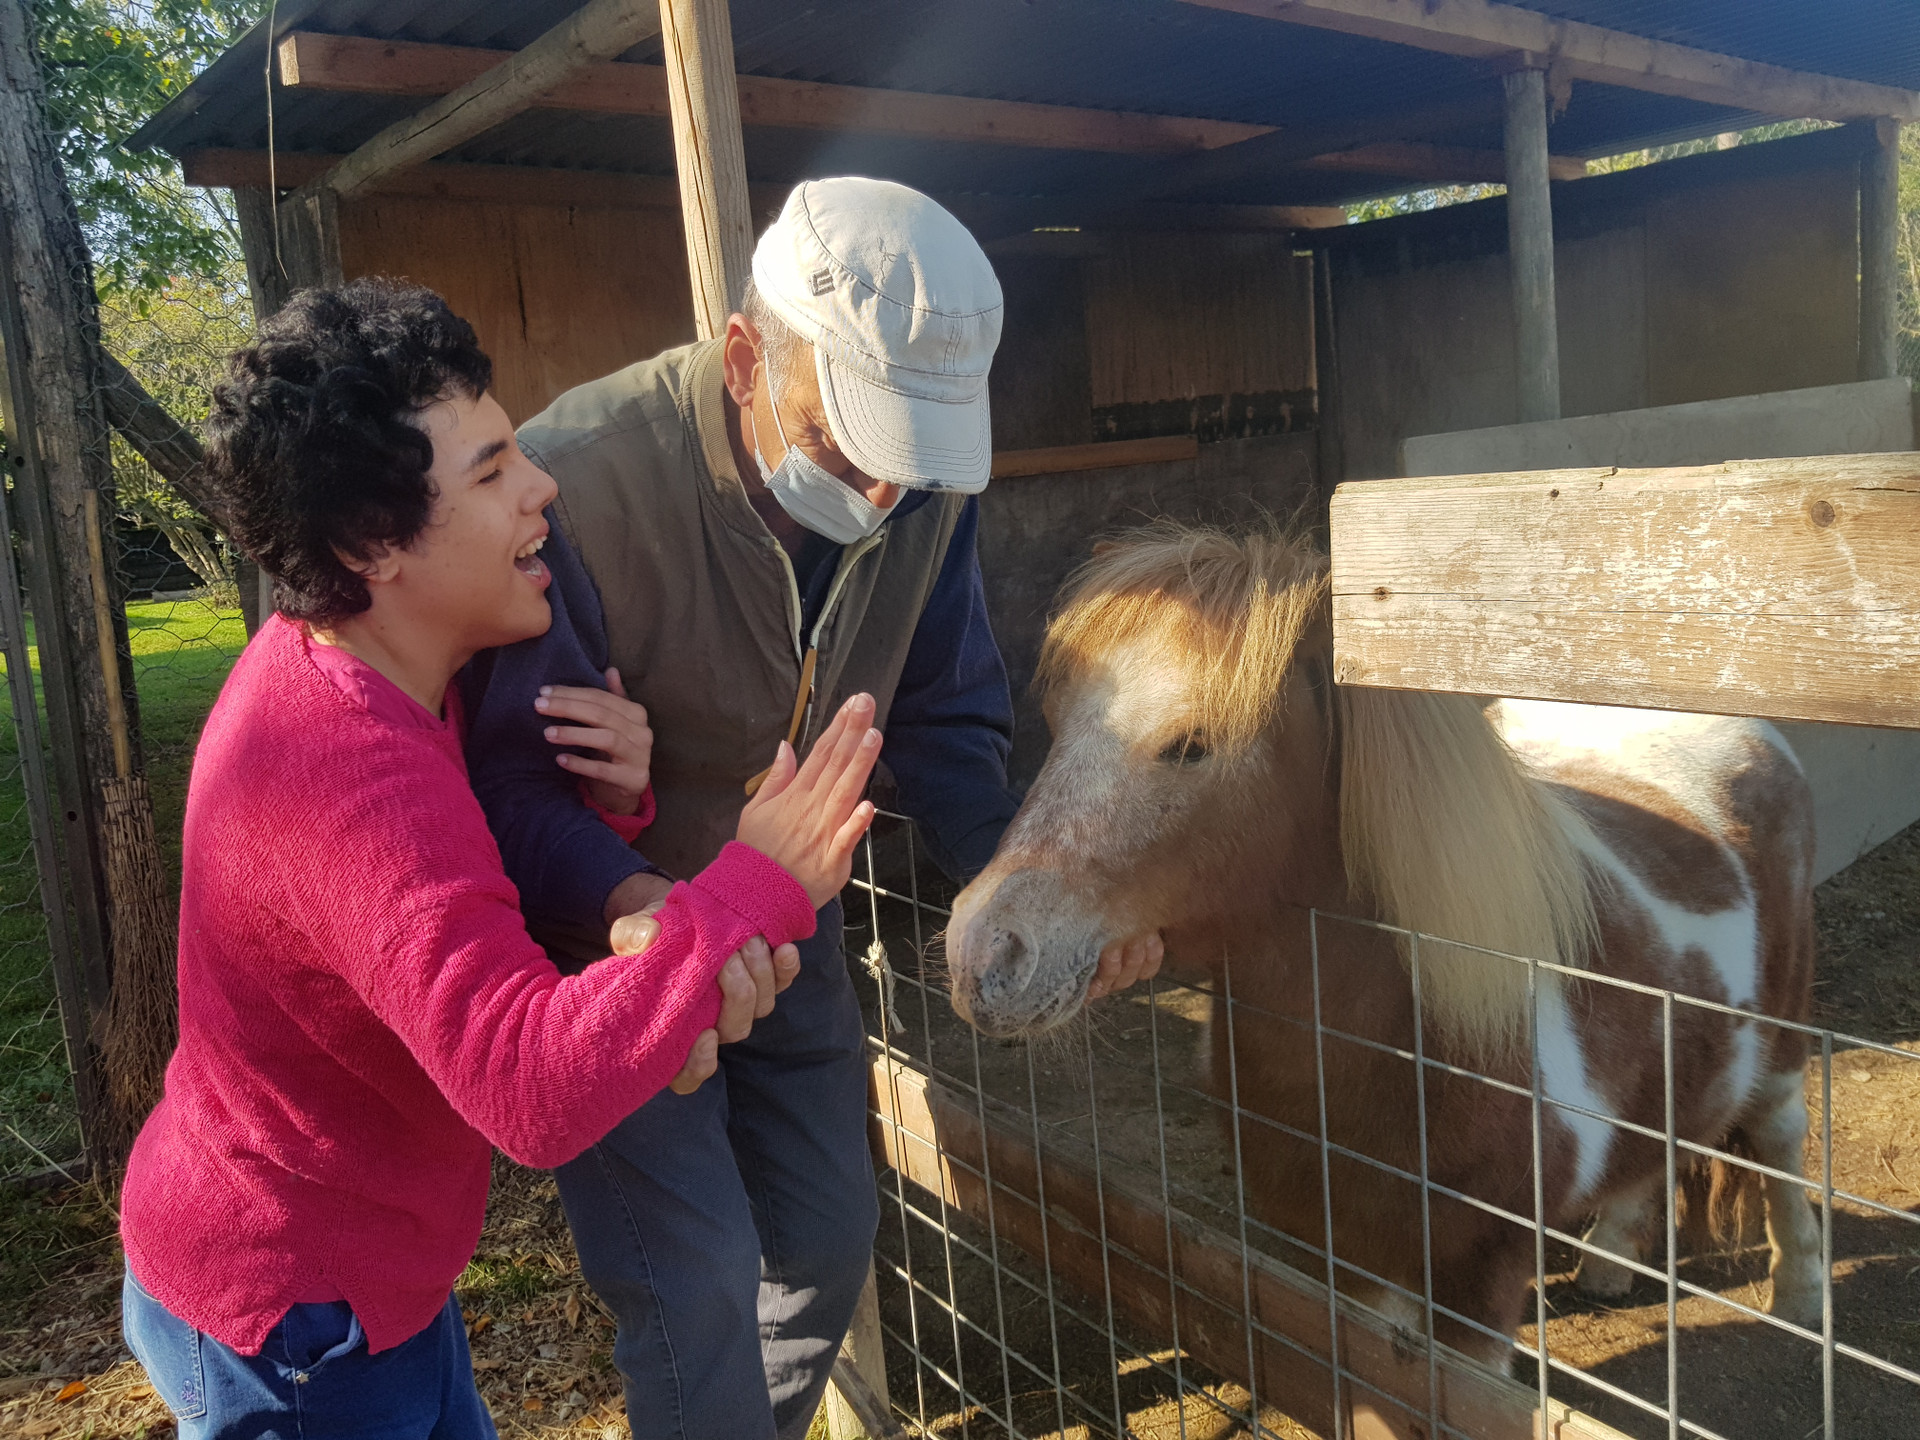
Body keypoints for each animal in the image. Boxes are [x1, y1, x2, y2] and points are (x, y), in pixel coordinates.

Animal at [944, 523, 1823, 1364]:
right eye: (1056, 726)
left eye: (1191, 745)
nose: (984, 954)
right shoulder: (1355, 1271)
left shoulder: (1477, 1288)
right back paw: (1611, 1259)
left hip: (1780, 1057)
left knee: (1780, 1148)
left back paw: (1800, 1296)